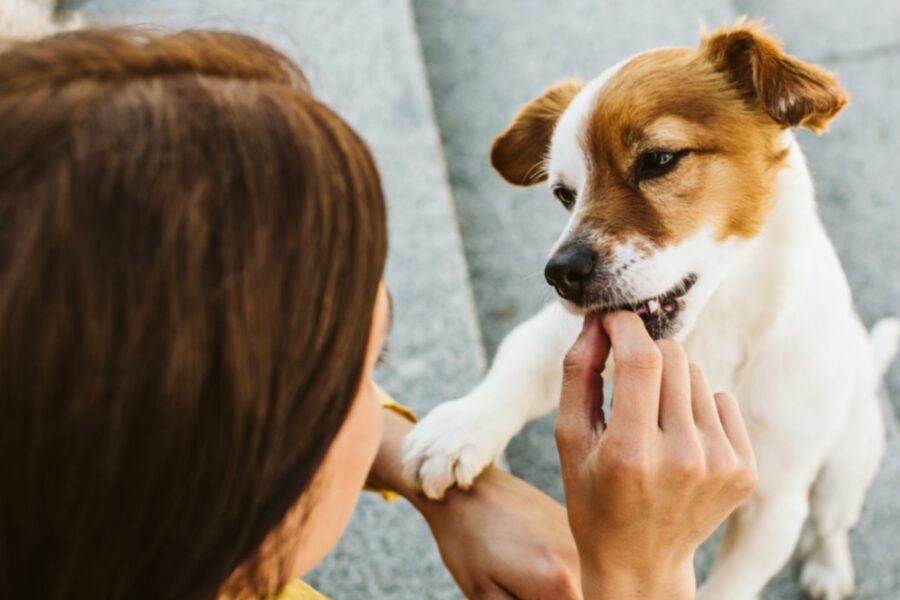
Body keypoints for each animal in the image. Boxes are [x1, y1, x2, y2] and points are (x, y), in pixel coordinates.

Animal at [404, 19, 900, 600]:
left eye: (659, 160)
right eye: (564, 194)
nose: (560, 273)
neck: (713, 327)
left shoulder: (775, 505)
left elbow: (732, 583)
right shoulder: (557, 339)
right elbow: (517, 365)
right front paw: (458, 429)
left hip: (845, 464)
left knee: (831, 522)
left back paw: (829, 566)